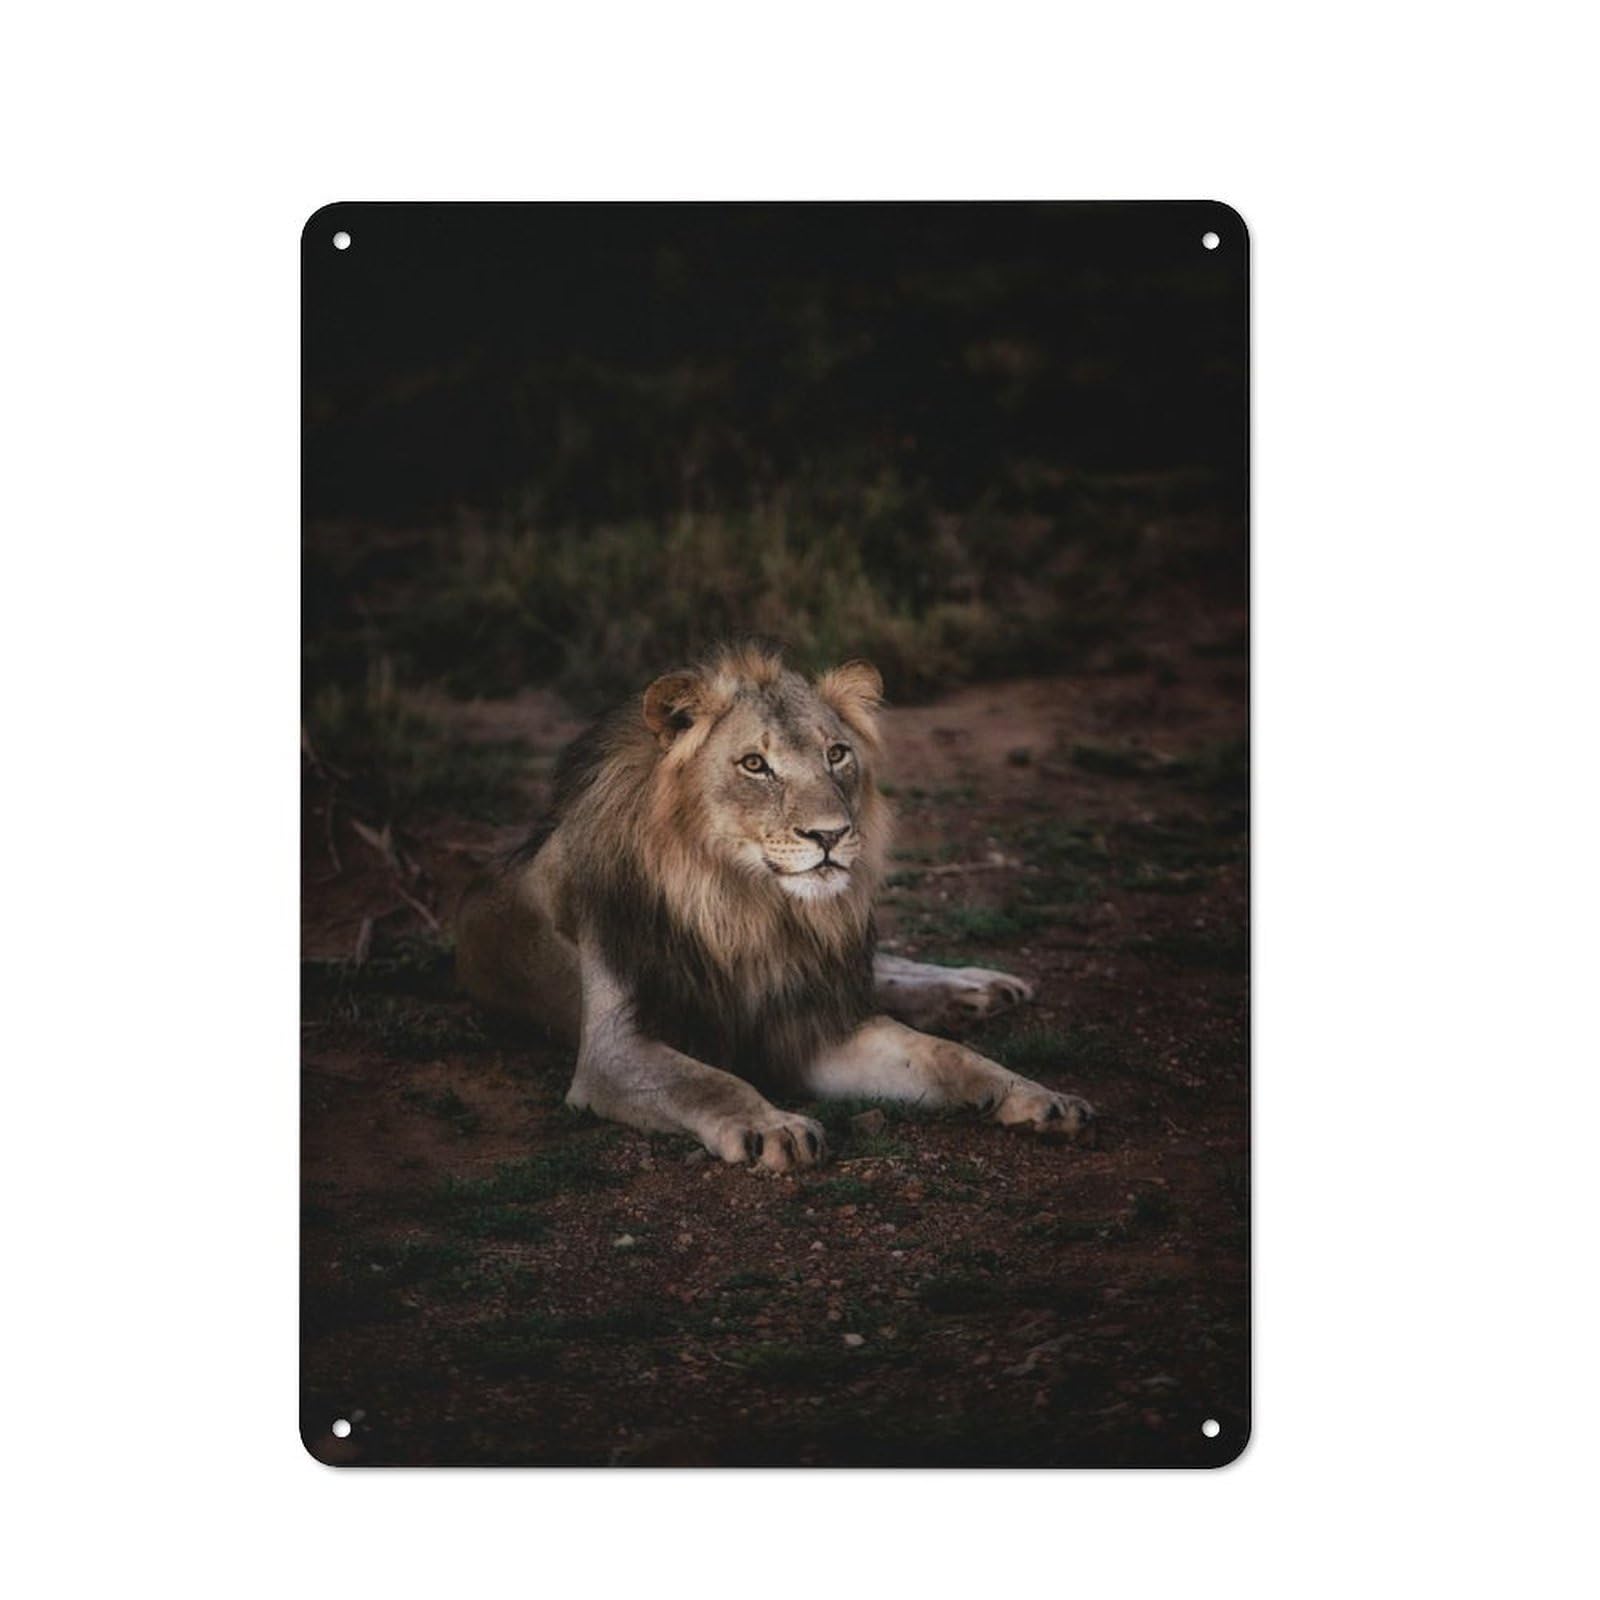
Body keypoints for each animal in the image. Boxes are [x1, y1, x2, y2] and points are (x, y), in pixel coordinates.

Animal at [456, 641, 1094, 1171]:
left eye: (836, 754)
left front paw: (1036, 1095)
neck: (750, 911)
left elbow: (946, 1056)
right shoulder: (614, 1051)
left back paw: (978, 988)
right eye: (755, 765)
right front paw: (776, 1127)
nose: (831, 835)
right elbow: (709, 1082)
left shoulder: (813, 1023)